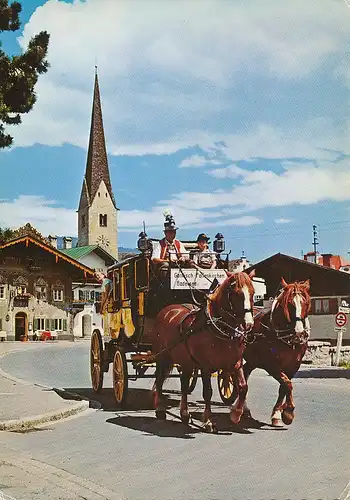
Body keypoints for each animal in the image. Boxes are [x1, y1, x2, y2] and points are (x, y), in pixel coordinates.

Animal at [152, 272, 254, 432]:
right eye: (237, 294)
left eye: (253, 293)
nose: (248, 324)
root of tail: (167, 310)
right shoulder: (205, 366)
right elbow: (208, 393)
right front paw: (208, 421)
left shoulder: (236, 363)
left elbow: (243, 387)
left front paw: (236, 414)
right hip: (162, 357)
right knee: (159, 380)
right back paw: (160, 409)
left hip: (186, 362)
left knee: (184, 384)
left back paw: (184, 414)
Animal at [241, 278, 312, 426]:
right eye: (290, 304)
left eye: (305, 303)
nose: (299, 332)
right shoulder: (271, 366)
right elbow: (287, 384)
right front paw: (288, 412)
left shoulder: (294, 366)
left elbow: (284, 387)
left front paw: (278, 414)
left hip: (253, 359)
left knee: (245, 372)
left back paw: (244, 409)